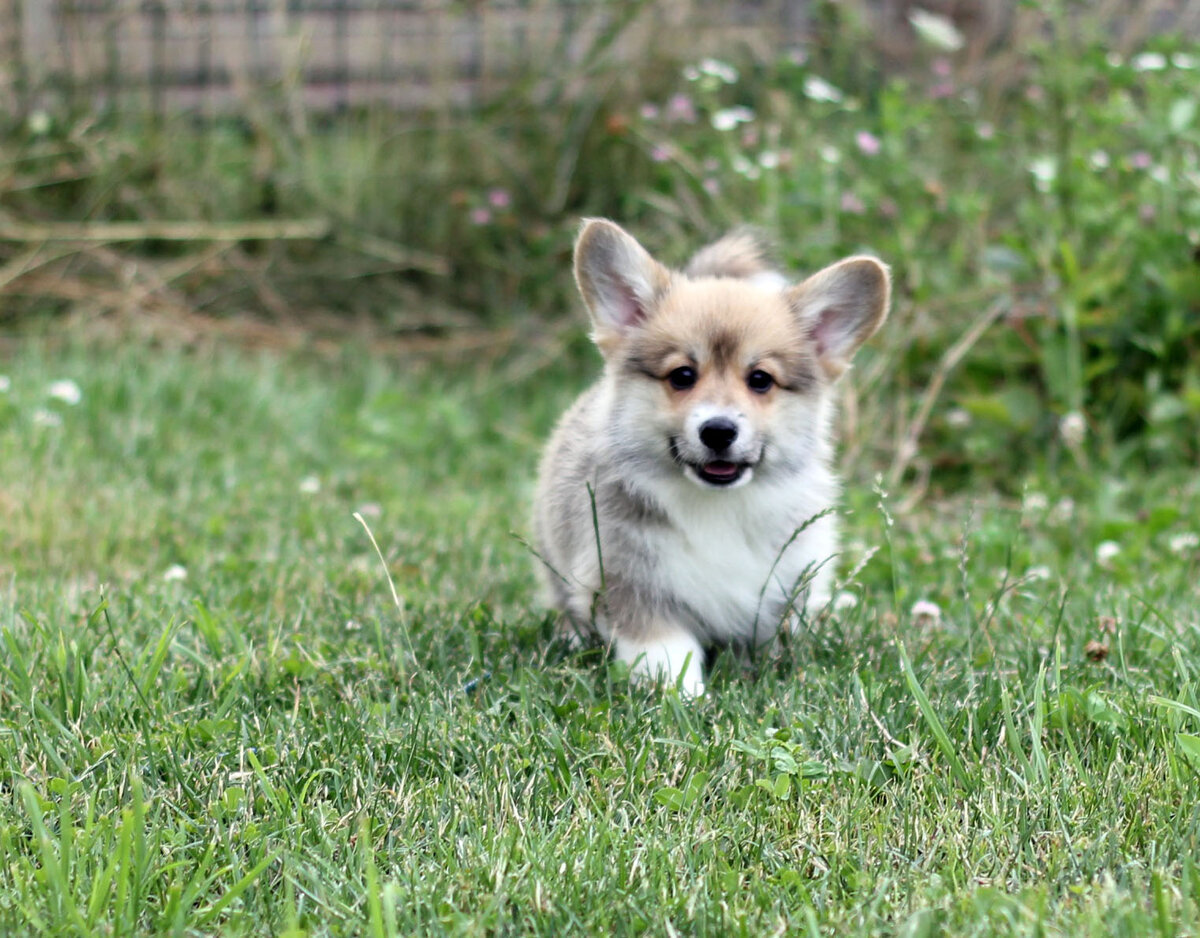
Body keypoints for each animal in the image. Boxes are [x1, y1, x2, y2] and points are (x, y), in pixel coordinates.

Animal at [535, 217, 892, 695]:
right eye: (682, 375)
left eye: (760, 380)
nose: (719, 431)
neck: (716, 505)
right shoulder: (631, 580)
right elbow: (666, 650)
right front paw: (683, 696)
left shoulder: (779, 581)